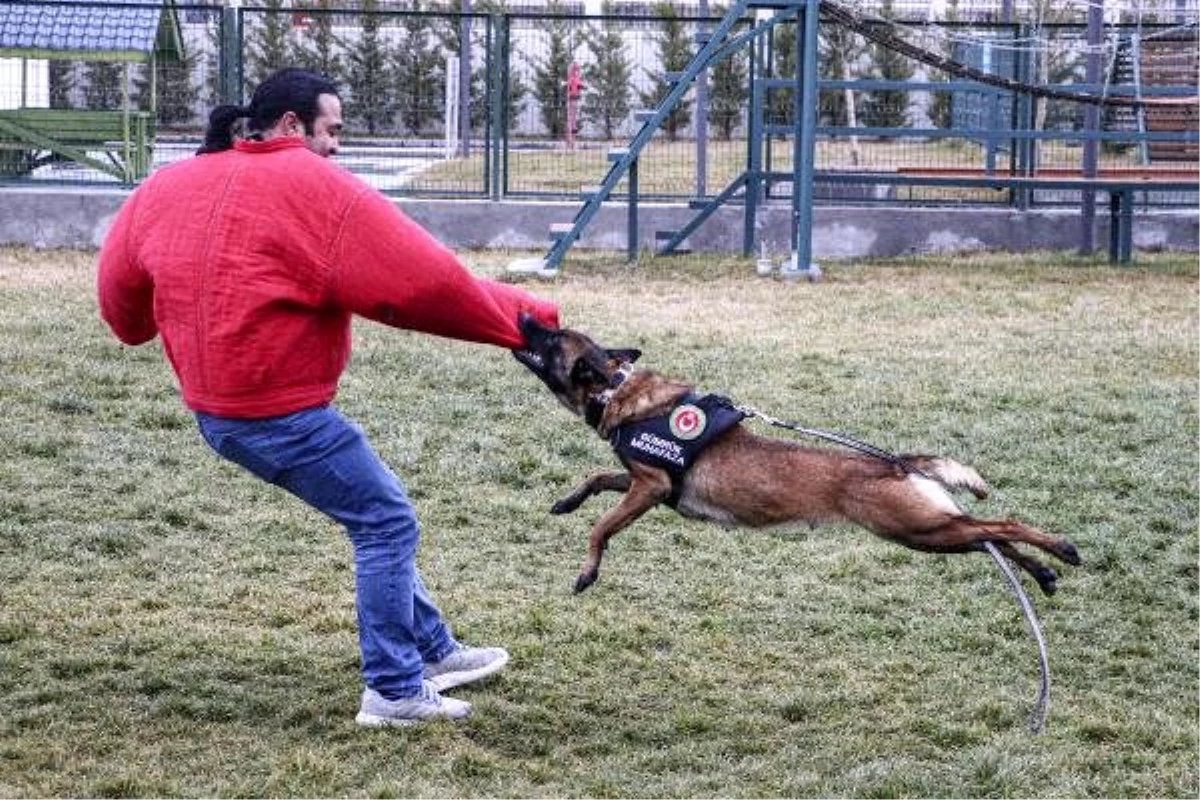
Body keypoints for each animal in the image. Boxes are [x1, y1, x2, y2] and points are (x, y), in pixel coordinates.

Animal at [511, 311, 1084, 594]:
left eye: (554, 337)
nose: (523, 316)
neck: (616, 392)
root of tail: (895, 463)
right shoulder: (645, 486)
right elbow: (597, 478)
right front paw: (567, 501)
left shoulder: (649, 487)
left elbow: (600, 528)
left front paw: (587, 572)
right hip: (928, 532)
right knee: (988, 537)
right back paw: (1044, 572)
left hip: (915, 529)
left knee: (1003, 525)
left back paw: (1062, 549)